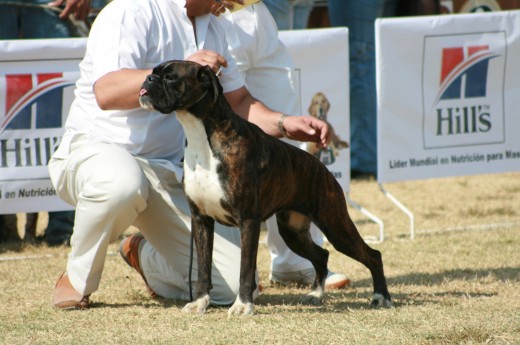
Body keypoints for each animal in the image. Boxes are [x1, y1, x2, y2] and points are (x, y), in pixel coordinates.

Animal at [138, 60, 390, 316]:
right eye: (154, 72)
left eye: (171, 78)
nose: (148, 79)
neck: (203, 138)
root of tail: (322, 168)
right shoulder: (201, 221)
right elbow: (204, 269)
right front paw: (199, 302)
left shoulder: (248, 221)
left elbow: (245, 270)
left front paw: (242, 306)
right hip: (293, 232)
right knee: (322, 255)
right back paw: (316, 294)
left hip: (335, 225)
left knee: (372, 255)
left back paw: (381, 296)